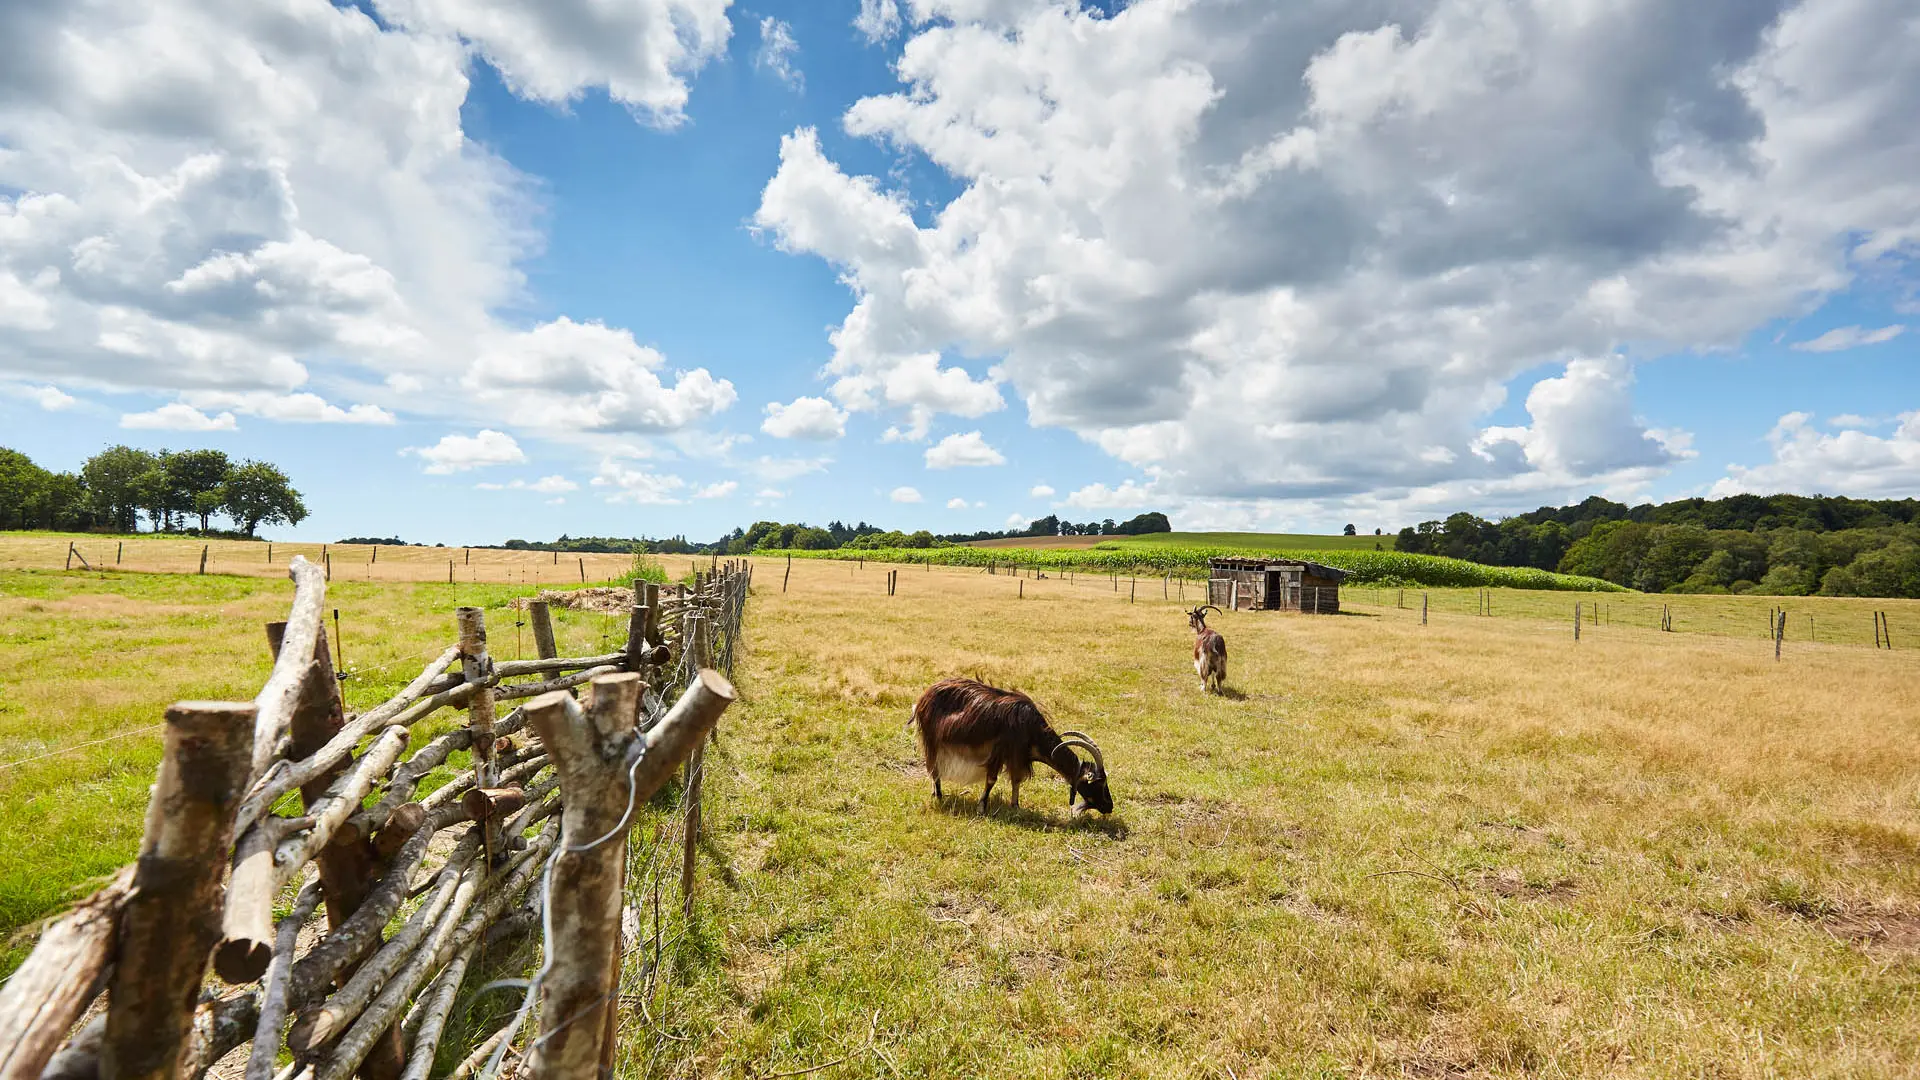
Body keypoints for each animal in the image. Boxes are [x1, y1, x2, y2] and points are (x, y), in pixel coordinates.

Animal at [910, 676, 1121, 810]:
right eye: (1100, 783)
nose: (1109, 807)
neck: (1030, 728)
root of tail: (923, 697)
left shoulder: (1017, 756)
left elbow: (1016, 780)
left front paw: (1015, 806)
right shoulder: (1002, 750)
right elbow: (992, 779)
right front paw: (982, 807)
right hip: (932, 740)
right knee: (934, 768)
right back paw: (938, 795)